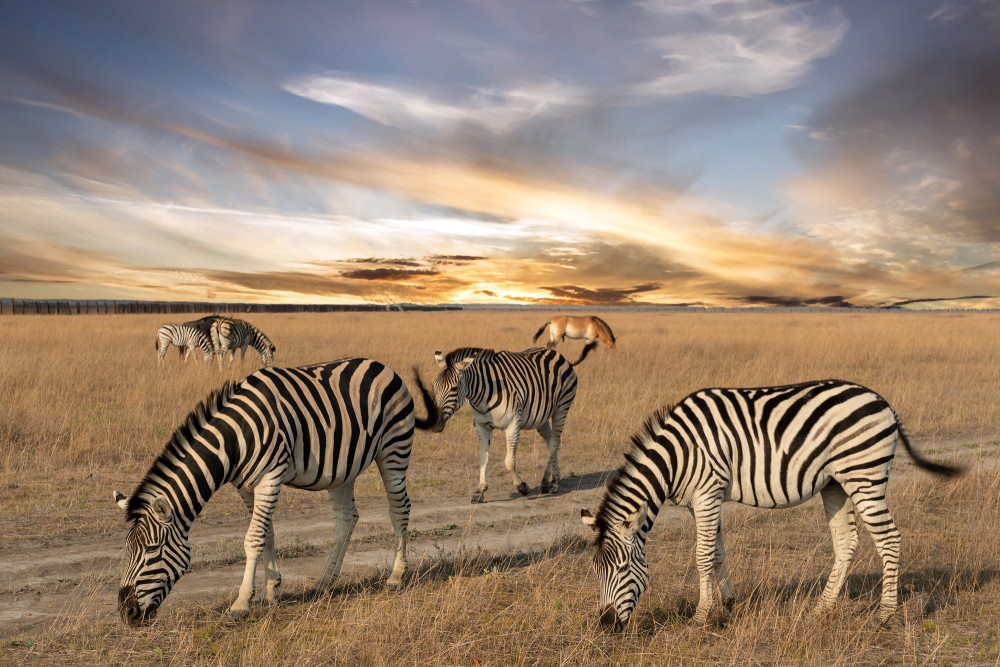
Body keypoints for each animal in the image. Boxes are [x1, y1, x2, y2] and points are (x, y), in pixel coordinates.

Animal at [111, 360, 436, 628]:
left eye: (152, 550)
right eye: (127, 551)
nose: (126, 613)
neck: (234, 441)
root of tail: (382, 366)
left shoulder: (270, 477)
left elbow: (253, 538)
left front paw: (242, 602)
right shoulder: (245, 486)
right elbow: (266, 533)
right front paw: (271, 590)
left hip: (394, 448)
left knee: (399, 509)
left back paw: (396, 576)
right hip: (343, 468)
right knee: (347, 519)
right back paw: (324, 583)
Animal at [430, 348, 580, 504]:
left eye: (454, 389)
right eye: (434, 386)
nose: (434, 424)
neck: (482, 397)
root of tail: (556, 353)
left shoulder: (512, 426)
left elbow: (509, 462)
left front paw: (522, 487)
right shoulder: (481, 427)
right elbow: (483, 458)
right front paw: (480, 490)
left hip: (561, 408)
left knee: (556, 441)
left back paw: (550, 483)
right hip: (542, 417)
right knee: (550, 442)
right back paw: (551, 481)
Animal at [580, 380, 960, 632]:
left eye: (622, 569)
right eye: (596, 571)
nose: (606, 625)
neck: (677, 455)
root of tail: (881, 399)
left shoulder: (707, 493)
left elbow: (702, 555)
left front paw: (701, 616)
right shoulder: (703, 500)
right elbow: (717, 553)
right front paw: (728, 604)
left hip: (864, 476)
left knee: (889, 539)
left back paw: (884, 615)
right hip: (836, 483)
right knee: (847, 542)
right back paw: (820, 610)